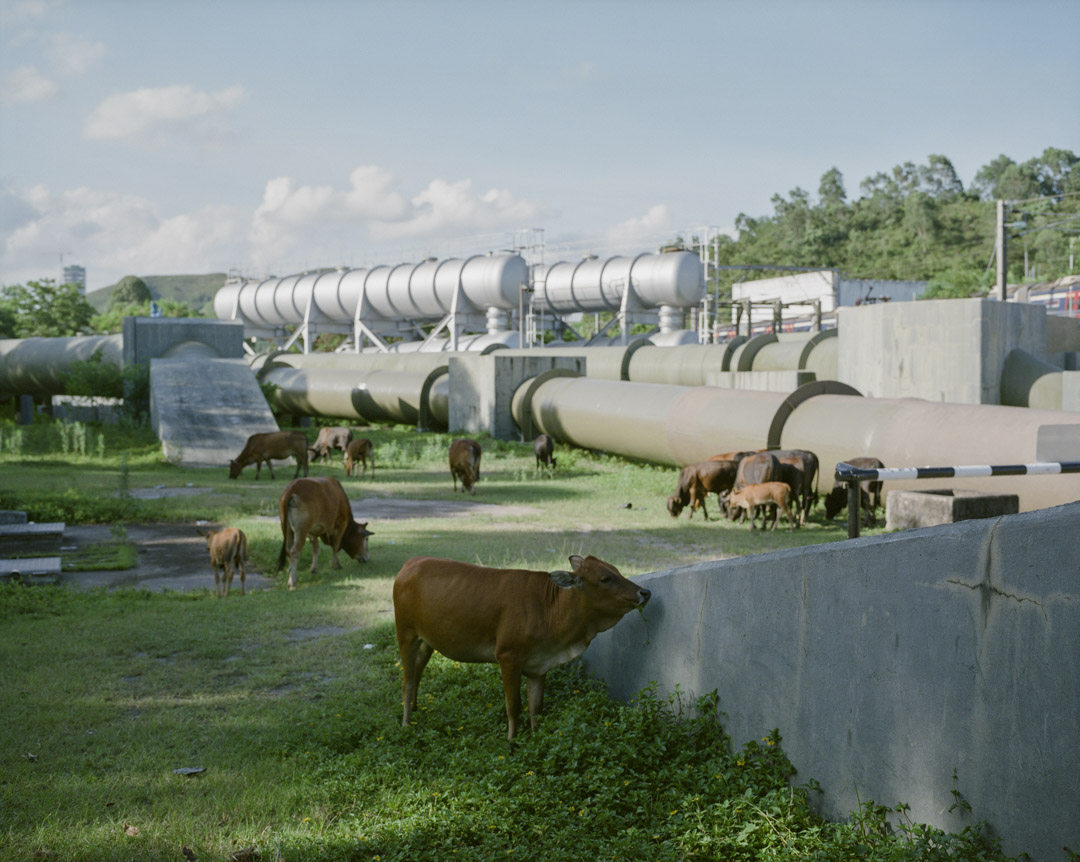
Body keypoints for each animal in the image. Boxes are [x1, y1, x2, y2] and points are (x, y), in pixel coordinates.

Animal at [395, 557, 648, 747]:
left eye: (617, 570)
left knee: (418, 672)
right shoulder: (508, 657)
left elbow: (536, 705)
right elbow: (513, 704)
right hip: (406, 633)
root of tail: (412, 562)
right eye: (605, 578)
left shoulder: (539, 665)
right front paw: (512, 741)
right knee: (407, 680)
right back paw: (406, 723)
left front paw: (536, 736)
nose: (645, 592)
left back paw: (416, 708)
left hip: (427, 640)